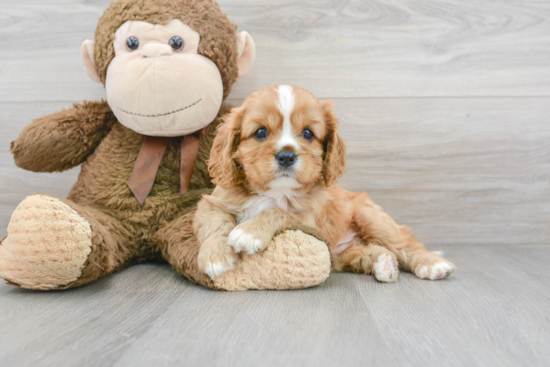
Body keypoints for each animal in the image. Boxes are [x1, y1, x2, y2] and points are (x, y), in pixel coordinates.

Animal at [195, 85, 458, 282]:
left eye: (308, 133)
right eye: (260, 132)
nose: (286, 156)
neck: (276, 192)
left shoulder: (310, 221)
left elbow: (276, 211)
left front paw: (249, 232)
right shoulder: (213, 202)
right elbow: (217, 221)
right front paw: (215, 256)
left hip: (371, 217)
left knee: (403, 242)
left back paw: (432, 263)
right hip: (342, 254)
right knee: (369, 252)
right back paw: (384, 264)